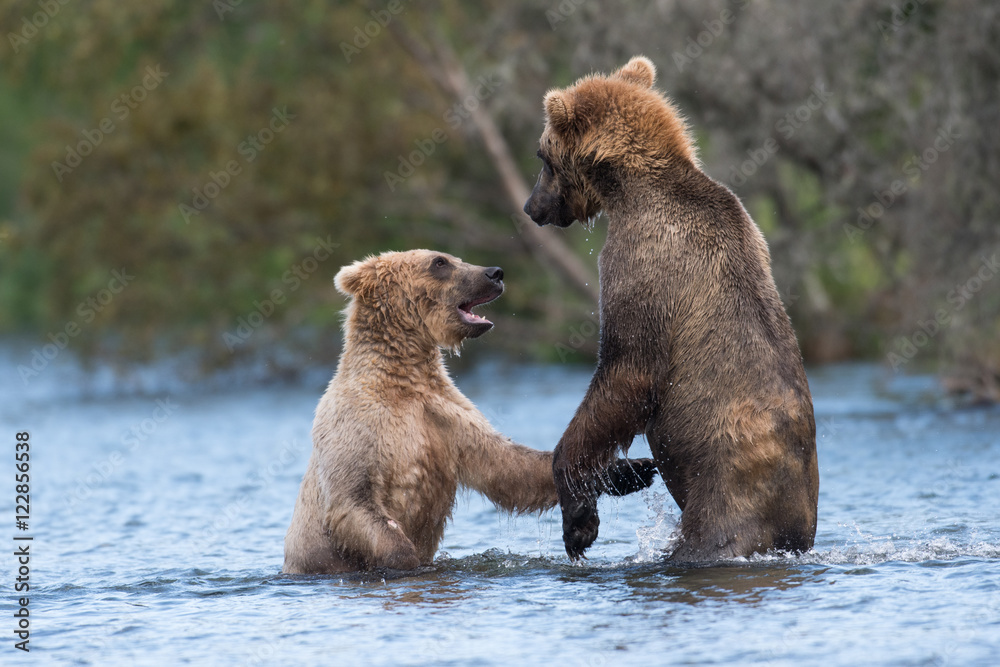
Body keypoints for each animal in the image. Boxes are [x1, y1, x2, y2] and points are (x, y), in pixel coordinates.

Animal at [282, 249, 658, 574]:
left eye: (455, 257)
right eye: (440, 262)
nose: (495, 273)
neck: (404, 376)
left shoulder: (446, 418)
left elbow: (509, 466)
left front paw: (631, 470)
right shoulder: (360, 426)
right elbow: (354, 500)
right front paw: (407, 558)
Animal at [523, 57, 819, 563]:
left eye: (543, 156)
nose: (531, 206)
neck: (628, 190)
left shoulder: (644, 264)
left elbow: (626, 371)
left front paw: (579, 521)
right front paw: (623, 476)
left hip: (725, 490)